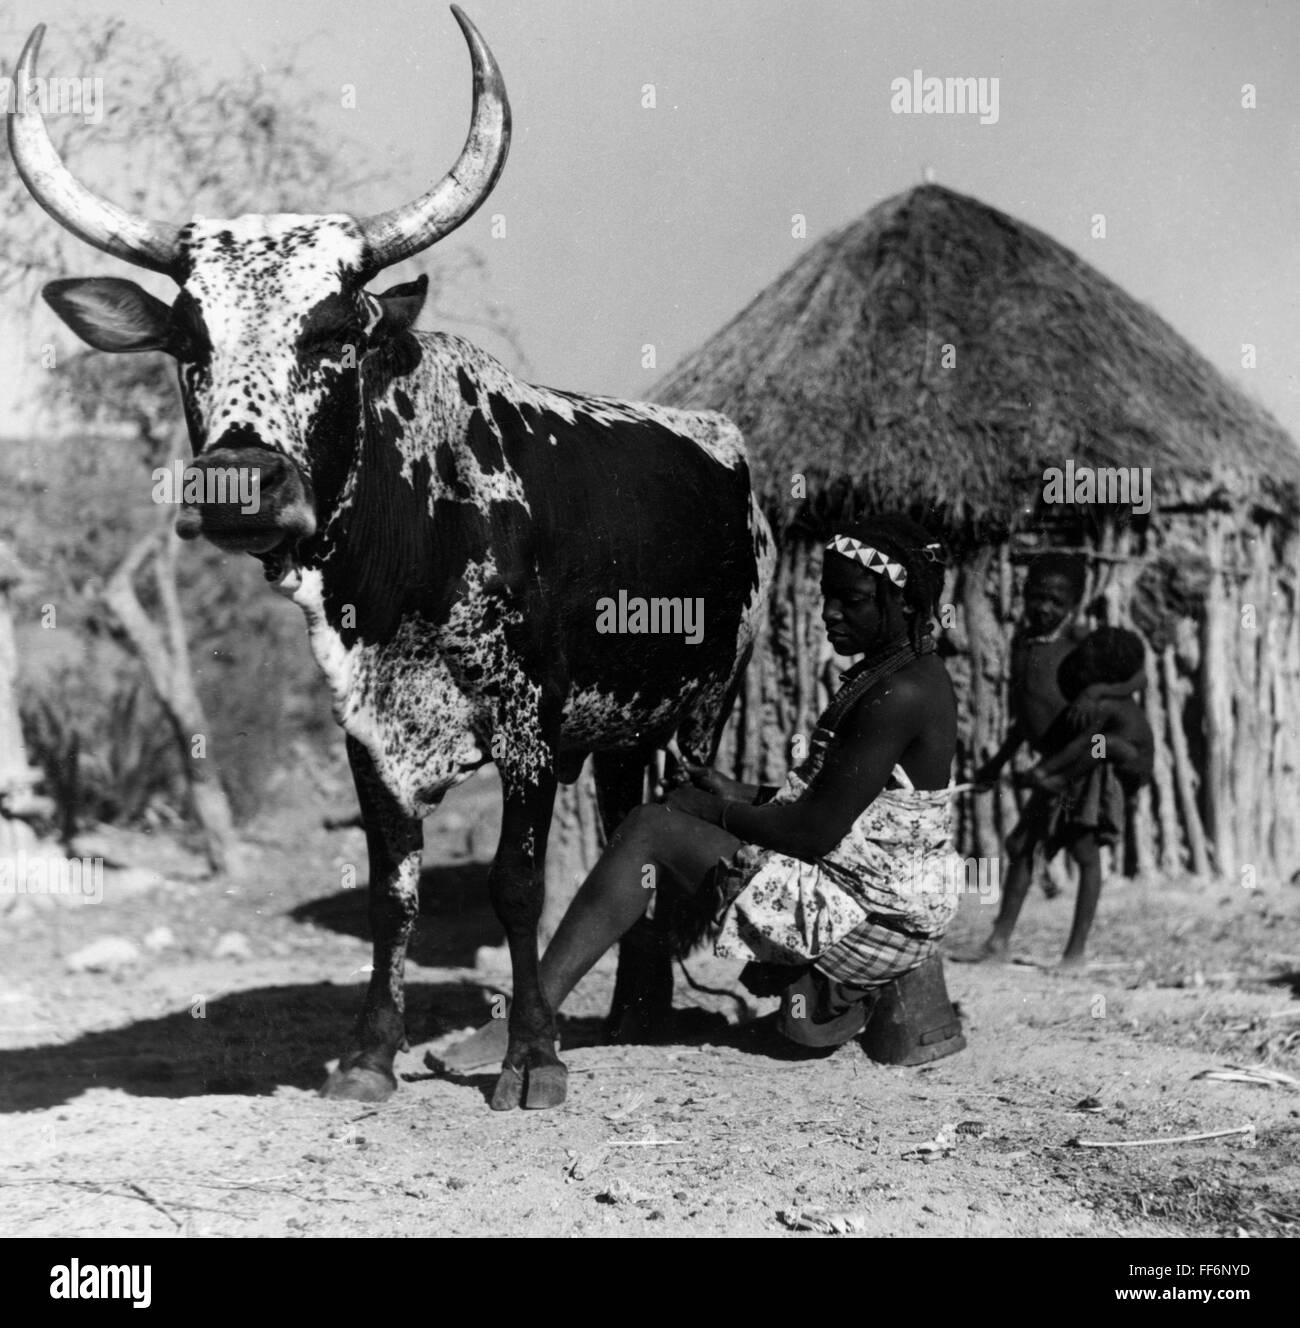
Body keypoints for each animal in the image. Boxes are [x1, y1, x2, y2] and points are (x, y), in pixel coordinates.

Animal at [10, 10, 775, 1110]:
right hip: (619, 725)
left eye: (334, 332)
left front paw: (532, 1059)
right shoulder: (365, 730)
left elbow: (515, 884)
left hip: (703, 707)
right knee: (628, 831)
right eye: (186, 340)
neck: (407, 558)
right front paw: (371, 1054)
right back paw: (634, 1010)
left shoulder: (527, 725)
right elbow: (390, 887)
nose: (238, 484)